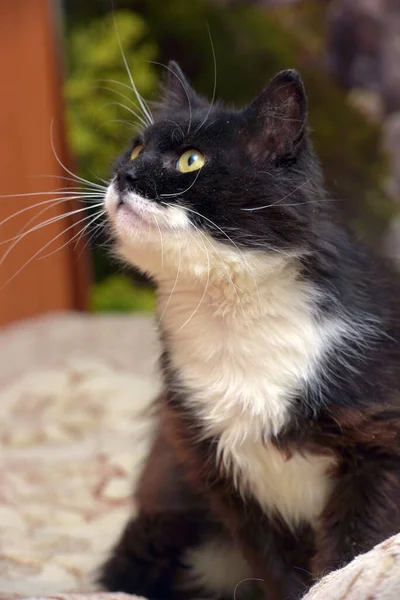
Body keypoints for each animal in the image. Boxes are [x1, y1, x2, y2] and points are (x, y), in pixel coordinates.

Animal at [97, 62, 400, 600]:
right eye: (135, 148)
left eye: (191, 160)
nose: (122, 175)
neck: (229, 316)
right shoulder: (221, 474)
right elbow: (278, 570)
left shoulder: (380, 449)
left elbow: (352, 554)